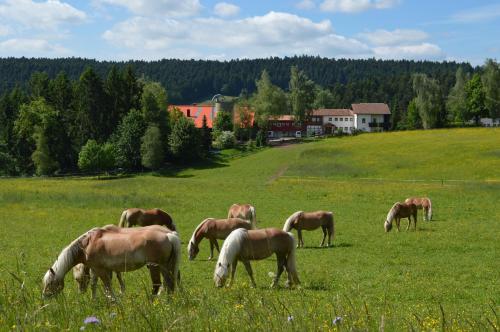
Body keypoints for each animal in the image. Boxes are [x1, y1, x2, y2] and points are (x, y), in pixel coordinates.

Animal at [42, 226, 180, 298]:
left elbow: (107, 286)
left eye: (50, 282)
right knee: (169, 284)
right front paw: (94, 300)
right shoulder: (95, 269)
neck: (87, 244)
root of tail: (169, 235)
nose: (44, 296)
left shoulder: (101, 270)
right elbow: (94, 284)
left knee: (159, 285)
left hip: (155, 267)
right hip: (166, 266)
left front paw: (112, 301)